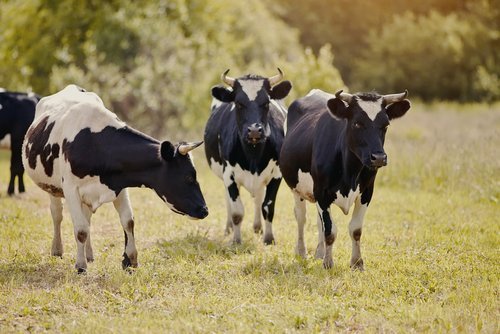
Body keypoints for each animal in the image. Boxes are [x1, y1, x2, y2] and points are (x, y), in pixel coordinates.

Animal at [22, 85, 207, 272]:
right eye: (188, 177)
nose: (204, 210)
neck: (95, 144)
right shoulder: (71, 189)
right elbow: (80, 230)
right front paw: (80, 266)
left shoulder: (120, 186)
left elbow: (128, 221)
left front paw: (130, 260)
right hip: (52, 186)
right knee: (57, 214)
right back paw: (57, 250)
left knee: (87, 218)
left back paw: (89, 254)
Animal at [202, 69, 290, 244]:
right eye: (238, 103)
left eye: (266, 103)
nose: (254, 130)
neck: (253, 155)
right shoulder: (229, 175)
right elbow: (237, 211)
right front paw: (236, 240)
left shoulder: (276, 175)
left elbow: (268, 207)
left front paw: (268, 238)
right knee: (229, 201)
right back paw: (229, 228)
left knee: (258, 198)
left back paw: (257, 227)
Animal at [280, 88, 408, 268]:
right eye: (357, 123)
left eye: (386, 125)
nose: (379, 158)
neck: (349, 173)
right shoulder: (321, 192)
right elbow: (330, 231)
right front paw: (328, 263)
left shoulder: (367, 192)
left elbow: (355, 229)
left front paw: (357, 262)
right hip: (296, 189)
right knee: (301, 217)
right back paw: (301, 252)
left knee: (318, 221)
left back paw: (319, 253)